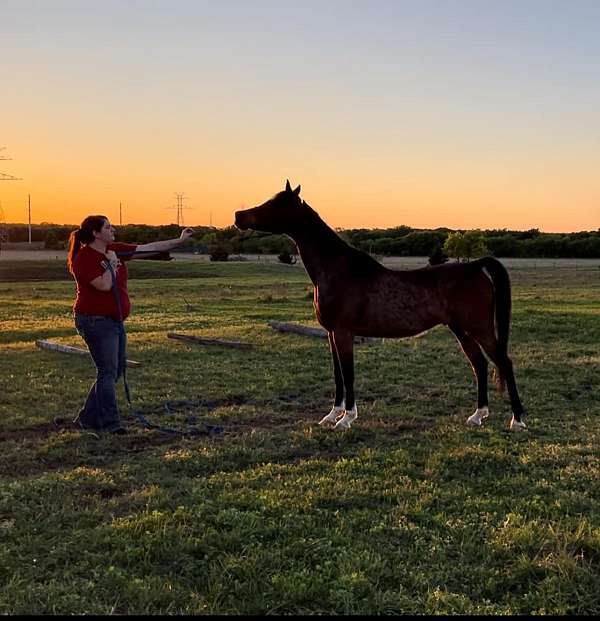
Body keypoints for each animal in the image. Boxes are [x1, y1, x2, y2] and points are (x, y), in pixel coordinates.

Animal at [234, 180, 524, 432]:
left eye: (275, 204)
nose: (238, 215)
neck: (338, 270)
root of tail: (476, 266)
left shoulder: (343, 332)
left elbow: (348, 374)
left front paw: (346, 419)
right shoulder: (331, 333)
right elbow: (338, 375)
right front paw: (331, 416)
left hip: (479, 328)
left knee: (503, 362)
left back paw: (517, 420)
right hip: (460, 329)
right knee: (480, 364)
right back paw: (477, 416)